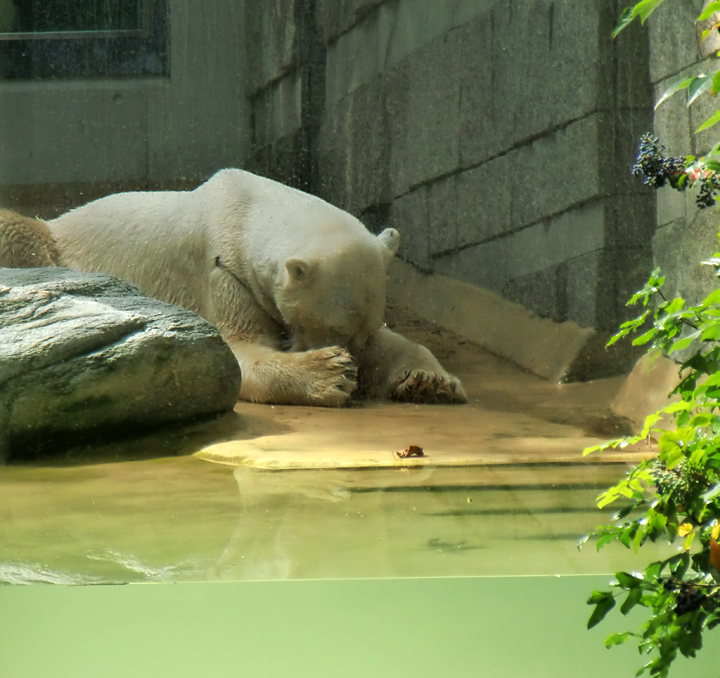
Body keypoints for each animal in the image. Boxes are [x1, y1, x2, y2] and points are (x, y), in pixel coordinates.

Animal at [2, 170, 466, 410]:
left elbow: (398, 342)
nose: (359, 364)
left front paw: (430, 380)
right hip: (52, 244)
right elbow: (239, 350)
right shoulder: (223, 272)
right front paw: (330, 372)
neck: (246, 207)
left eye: (363, 334)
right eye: (332, 331)